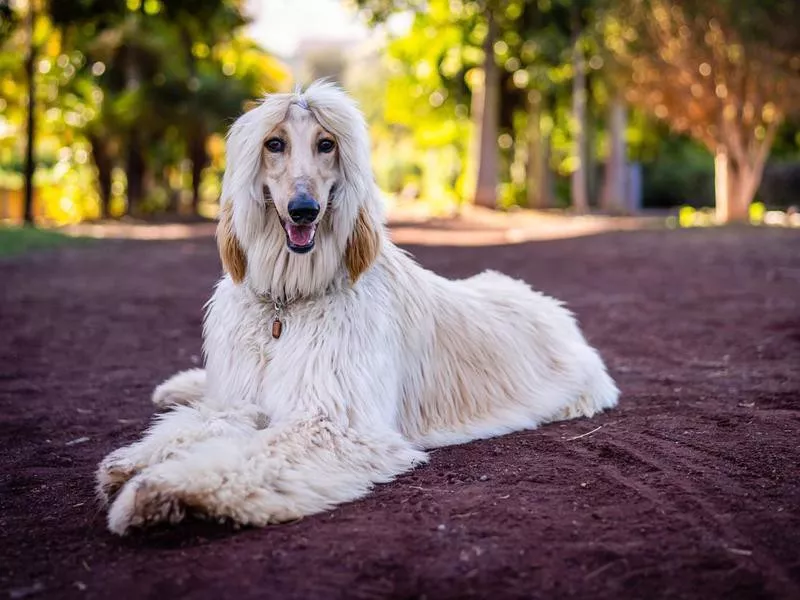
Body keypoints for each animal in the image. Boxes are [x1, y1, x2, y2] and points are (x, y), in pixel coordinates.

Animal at [95, 81, 620, 536]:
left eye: (326, 144)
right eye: (274, 143)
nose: (304, 209)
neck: (288, 303)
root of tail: (551, 307)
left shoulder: (333, 424)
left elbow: (251, 455)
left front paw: (159, 489)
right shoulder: (243, 396)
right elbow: (206, 420)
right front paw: (137, 459)